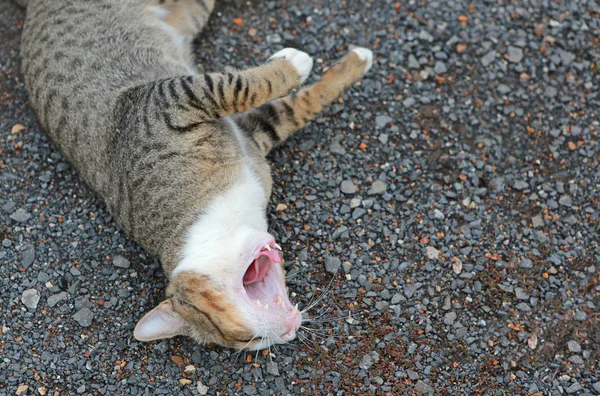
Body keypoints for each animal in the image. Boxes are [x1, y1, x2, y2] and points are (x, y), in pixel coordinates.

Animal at [19, 0, 370, 350]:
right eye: (250, 341)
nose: (287, 332)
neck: (216, 217)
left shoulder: (169, 100)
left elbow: (240, 87)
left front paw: (306, 63)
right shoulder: (251, 134)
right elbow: (297, 107)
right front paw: (352, 63)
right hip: (191, 16)